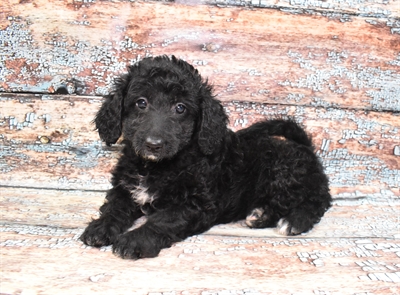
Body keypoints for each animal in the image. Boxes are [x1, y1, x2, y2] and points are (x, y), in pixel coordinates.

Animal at [81, 55, 332, 260]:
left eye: (180, 108)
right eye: (141, 102)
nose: (154, 144)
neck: (157, 167)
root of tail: (304, 146)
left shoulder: (196, 204)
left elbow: (163, 220)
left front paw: (135, 240)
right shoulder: (124, 189)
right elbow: (114, 207)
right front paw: (100, 228)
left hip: (284, 175)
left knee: (317, 201)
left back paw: (294, 221)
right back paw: (260, 215)